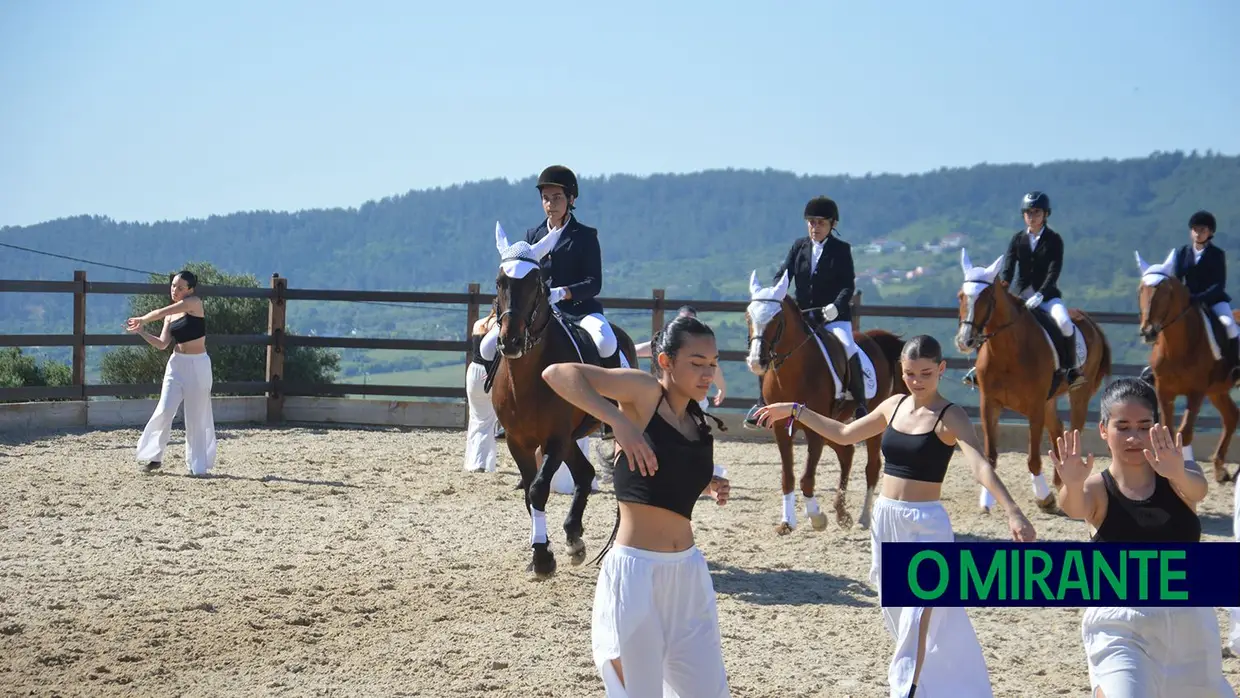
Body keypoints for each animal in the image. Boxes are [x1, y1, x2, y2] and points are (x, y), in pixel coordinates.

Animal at [486, 223, 634, 580]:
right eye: (499, 281)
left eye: (536, 283)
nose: (510, 341)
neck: (527, 379)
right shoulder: (520, 441)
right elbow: (530, 494)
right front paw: (541, 552)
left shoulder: (555, 438)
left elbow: (539, 489)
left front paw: (542, 557)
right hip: (570, 440)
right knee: (584, 474)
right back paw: (573, 537)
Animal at [739, 270, 907, 533]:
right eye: (749, 316)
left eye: (776, 319)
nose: (757, 362)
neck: (794, 372)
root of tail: (872, 339)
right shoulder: (780, 428)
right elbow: (788, 476)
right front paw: (787, 522)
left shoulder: (814, 430)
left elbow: (807, 478)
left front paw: (817, 517)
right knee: (846, 452)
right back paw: (841, 512)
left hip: (870, 421)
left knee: (871, 467)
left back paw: (863, 518)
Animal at [947, 250, 1116, 513]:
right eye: (961, 296)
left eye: (986, 297)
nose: (965, 341)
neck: (1007, 351)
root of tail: (1088, 320)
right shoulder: (989, 403)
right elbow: (990, 455)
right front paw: (987, 499)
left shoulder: (1034, 405)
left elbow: (1034, 458)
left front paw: (1044, 498)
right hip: (1050, 399)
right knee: (1057, 429)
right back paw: (1060, 480)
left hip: (1079, 393)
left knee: (1073, 430)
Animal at [1135, 247, 1235, 483]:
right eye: (1140, 290)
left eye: (1166, 291)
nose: (1148, 331)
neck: (1177, 348)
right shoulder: (1164, 390)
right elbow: (1167, 431)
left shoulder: (1196, 392)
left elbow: (1185, 432)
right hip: (1217, 391)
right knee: (1231, 417)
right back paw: (1220, 470)